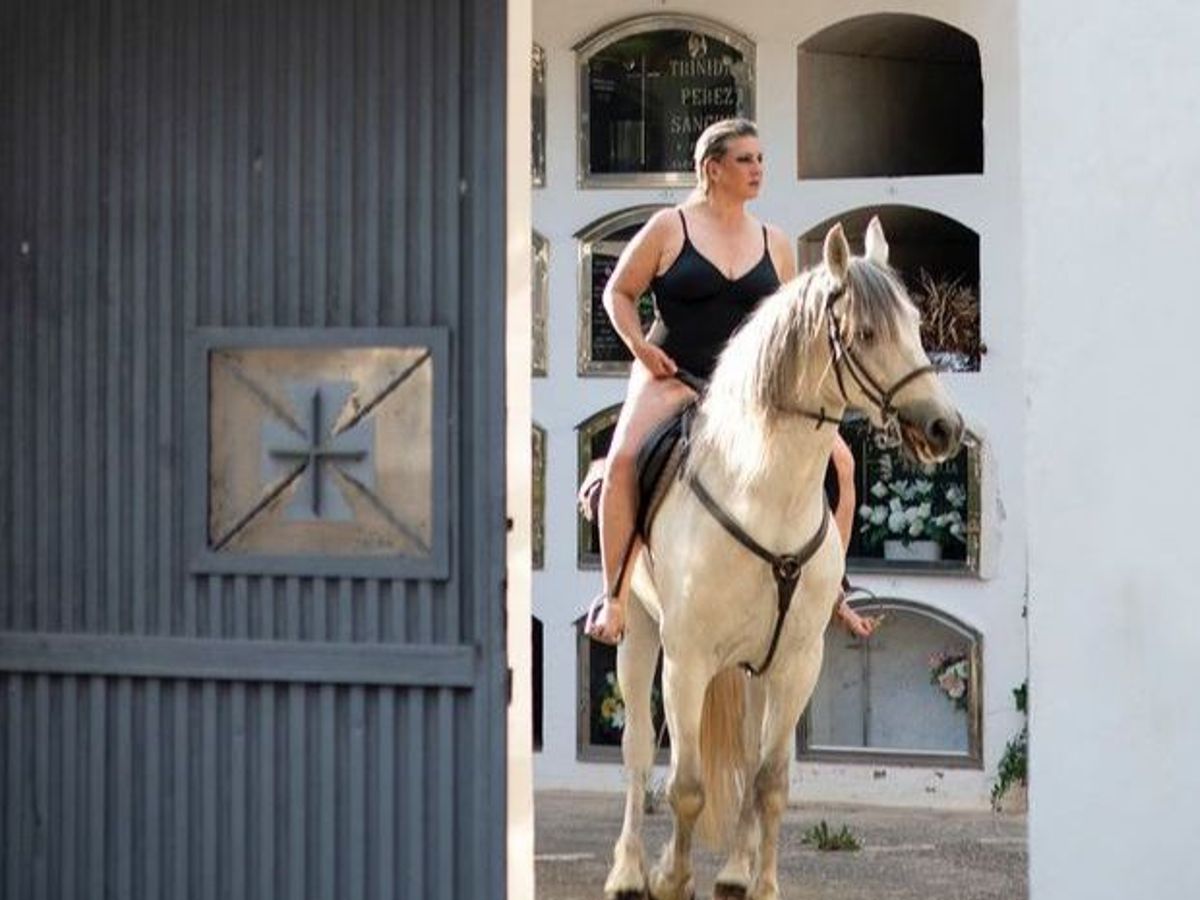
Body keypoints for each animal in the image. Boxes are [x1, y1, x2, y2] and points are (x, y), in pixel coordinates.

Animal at [604, 220, 960, 900]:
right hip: (639, 633)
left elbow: (769, 783)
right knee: (635, 749)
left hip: (753, 667)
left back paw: (735, 869)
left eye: (916, 322)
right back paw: (629, 869)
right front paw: (672, 875)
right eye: (866, 333)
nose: (944, 427)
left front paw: (759, 882)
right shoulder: (686, 658)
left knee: (745, 758)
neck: (761, 489)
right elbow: (685, 785)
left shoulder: (797, 661)